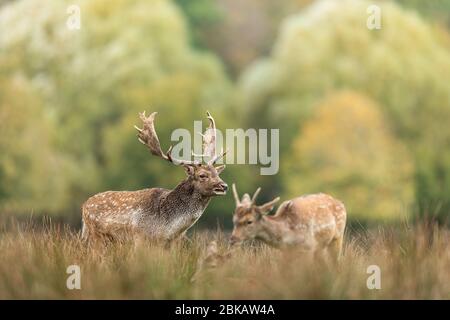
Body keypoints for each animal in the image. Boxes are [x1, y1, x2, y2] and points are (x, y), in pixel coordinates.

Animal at [81, 111, 227, 244]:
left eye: (217, 173)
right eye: (202, 175)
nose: (224, 186)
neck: (167, 228)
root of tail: (84, 207)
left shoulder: (173, 243)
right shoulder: (139, 237)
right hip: (96, 236)